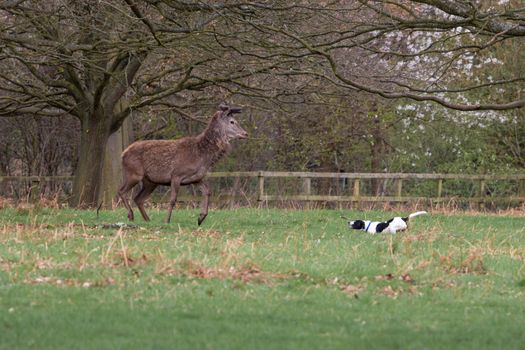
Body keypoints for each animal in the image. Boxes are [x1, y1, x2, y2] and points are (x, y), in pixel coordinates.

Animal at [118, 104, 248, 224]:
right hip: (134, 173)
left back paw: (147, 220)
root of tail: (123, 154)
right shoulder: (176, 175)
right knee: (121, 191)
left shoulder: (196, 178)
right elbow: (173, 199)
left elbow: (207, 191)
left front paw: (201, 217)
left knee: (138, 198)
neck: (202, 157)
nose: (245, 133)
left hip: (151, 181)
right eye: (232, 121)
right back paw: (131, 215)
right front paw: (167, 220)